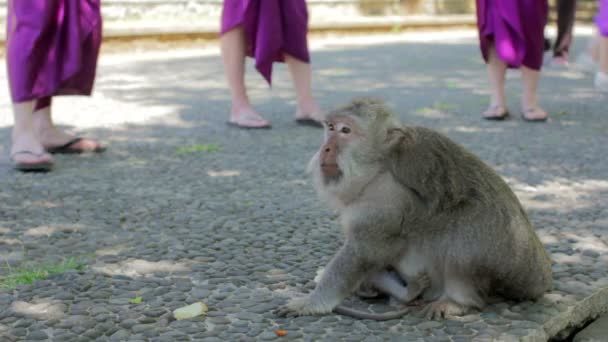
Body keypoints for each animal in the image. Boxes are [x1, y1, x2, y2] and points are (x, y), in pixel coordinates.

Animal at [278, 97, 552, 320]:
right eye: (331, 128)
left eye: (346, 130)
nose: (326, 148)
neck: (377, 166)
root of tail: (540, 280)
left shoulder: (385, 197)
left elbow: (363, 250)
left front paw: (313, 301)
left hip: (509, 259)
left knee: (467, 228)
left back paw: (458, 301)